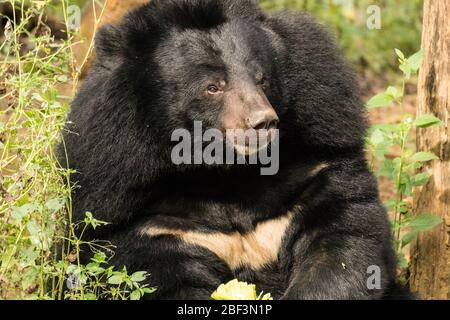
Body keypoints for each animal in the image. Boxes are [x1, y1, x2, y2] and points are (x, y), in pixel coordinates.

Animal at [61, 0, 410, 300]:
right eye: (212, 87)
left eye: (262, 79)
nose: (263, 122)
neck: (227, 173)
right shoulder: (144, 215)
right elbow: (156, 277)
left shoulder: (315, 169)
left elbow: (342, 240)